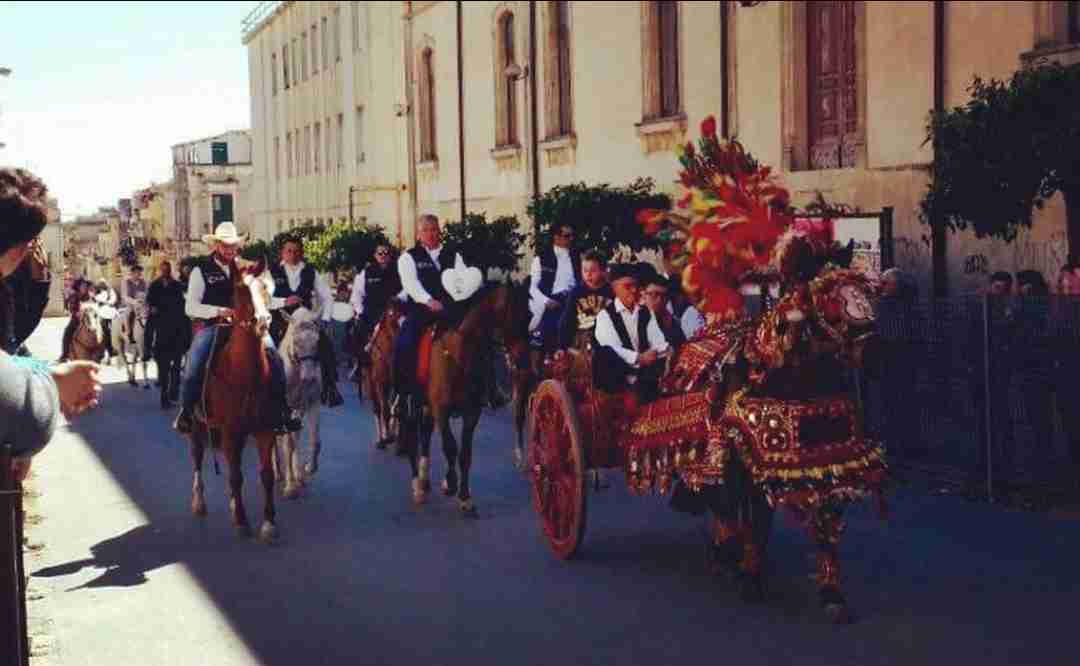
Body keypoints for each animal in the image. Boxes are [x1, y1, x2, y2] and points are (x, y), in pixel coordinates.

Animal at [189, 256, 282, 541]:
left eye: (267, 288)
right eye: (241, 290)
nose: (262, 321)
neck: (245, 375)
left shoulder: (265, 428)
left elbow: (267, 474)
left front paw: (268, 522)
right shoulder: (231, 431)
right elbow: (236, 476)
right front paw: (241, 520)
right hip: (197, 427)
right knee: (197, 456)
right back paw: (199, 502)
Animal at [272, 306, 321, 498]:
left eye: (317, 340)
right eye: (297, 341)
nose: (310, 378)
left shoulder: (311, 404)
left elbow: (314, 439)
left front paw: (308, 469)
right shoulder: (286, 409)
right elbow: (288, 444)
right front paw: (290, 486)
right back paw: (278, 472)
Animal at [403, 280, 529, 513]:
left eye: (529, 315)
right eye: (514, 315)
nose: (524, 361)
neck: (458, 354)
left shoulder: (472, 413)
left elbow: (465, 454)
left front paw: (464, 496)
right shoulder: (441, 409)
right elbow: (450, 447)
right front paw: (451, 484)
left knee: (425, 434)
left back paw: (424, 479)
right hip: (411, 402)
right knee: (411, 436)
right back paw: (417, 486)